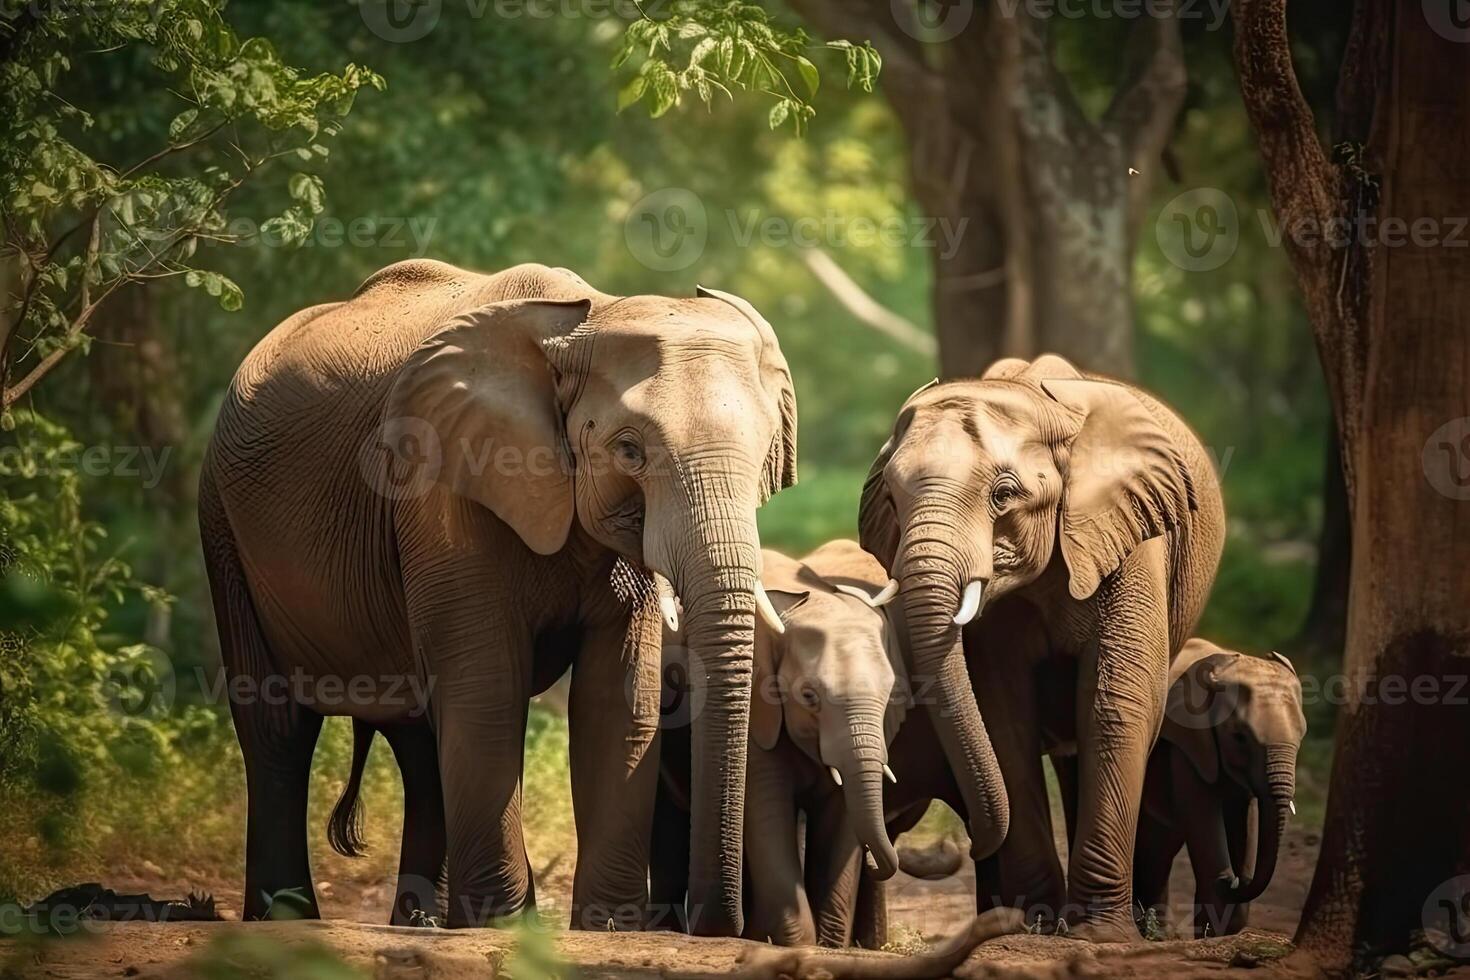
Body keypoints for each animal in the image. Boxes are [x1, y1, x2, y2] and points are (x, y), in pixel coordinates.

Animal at [201, 260, 799, 934]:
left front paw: (604, 928)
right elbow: (487, 686)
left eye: (765, 456)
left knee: (418, 734)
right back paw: (287, 919)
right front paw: (510, 926)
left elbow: (618, 698)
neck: (581, 321)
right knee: (277, 726)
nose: (714, 924)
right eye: (629, 451)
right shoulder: (442, 487)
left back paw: (423, 922)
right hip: (221, 522)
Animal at [652, 540, 905, 946]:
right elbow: (768, 814)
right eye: (809, 696)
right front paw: (800, 945)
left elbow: (840, 821)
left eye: (890, 693)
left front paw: (829, 945)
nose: (874, 860)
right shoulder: (757, 719)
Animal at [858, 354, 1228, 940]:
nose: (964, 843)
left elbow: (1114, 706)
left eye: (1003, 495)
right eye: (891, 499)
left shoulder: (1130, 539)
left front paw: (1099, 936)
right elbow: (1004, 718)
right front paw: (1033, 924)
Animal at [1134, 640, 1311, 940]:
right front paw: (1213, 923)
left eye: (1302, 735)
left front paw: (1222, 926)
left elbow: (1244, 819)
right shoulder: (1188, 744)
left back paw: (1158, 933)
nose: (1234, 881)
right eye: (1239, 737)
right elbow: (1203, 815)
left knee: (1159, 844)